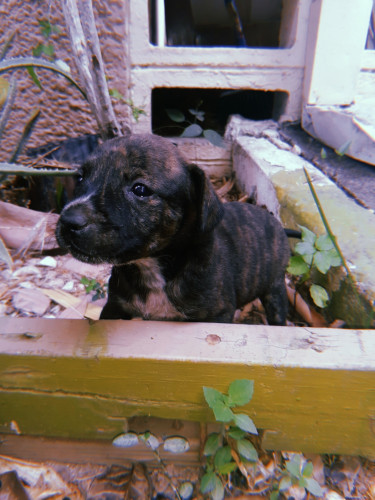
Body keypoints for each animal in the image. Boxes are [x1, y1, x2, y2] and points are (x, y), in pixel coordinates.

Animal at [55, 134, 290, 324]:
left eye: (140, 189)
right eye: (80, 177)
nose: (68, 221)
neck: (152, 267)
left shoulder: (218, 315)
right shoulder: (114, 307)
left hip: (275, 290)